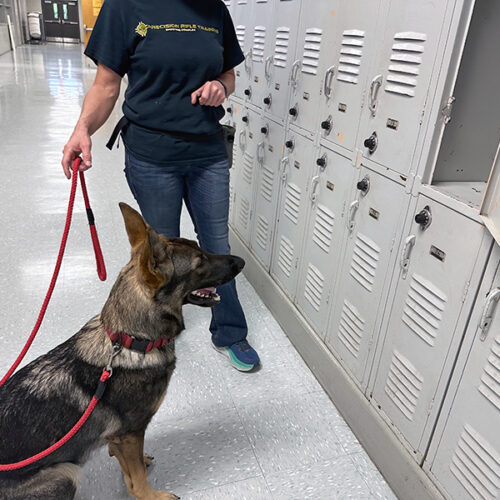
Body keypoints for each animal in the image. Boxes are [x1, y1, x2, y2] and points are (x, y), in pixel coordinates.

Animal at [0, 201, 246, 498]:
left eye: (202, 249)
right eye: (200, 263)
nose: (241, 262)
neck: (131, 340)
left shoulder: (122, 439)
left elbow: (129, 464)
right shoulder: (130, 433)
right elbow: (137, 479)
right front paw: (152, 495)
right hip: (65, 473)